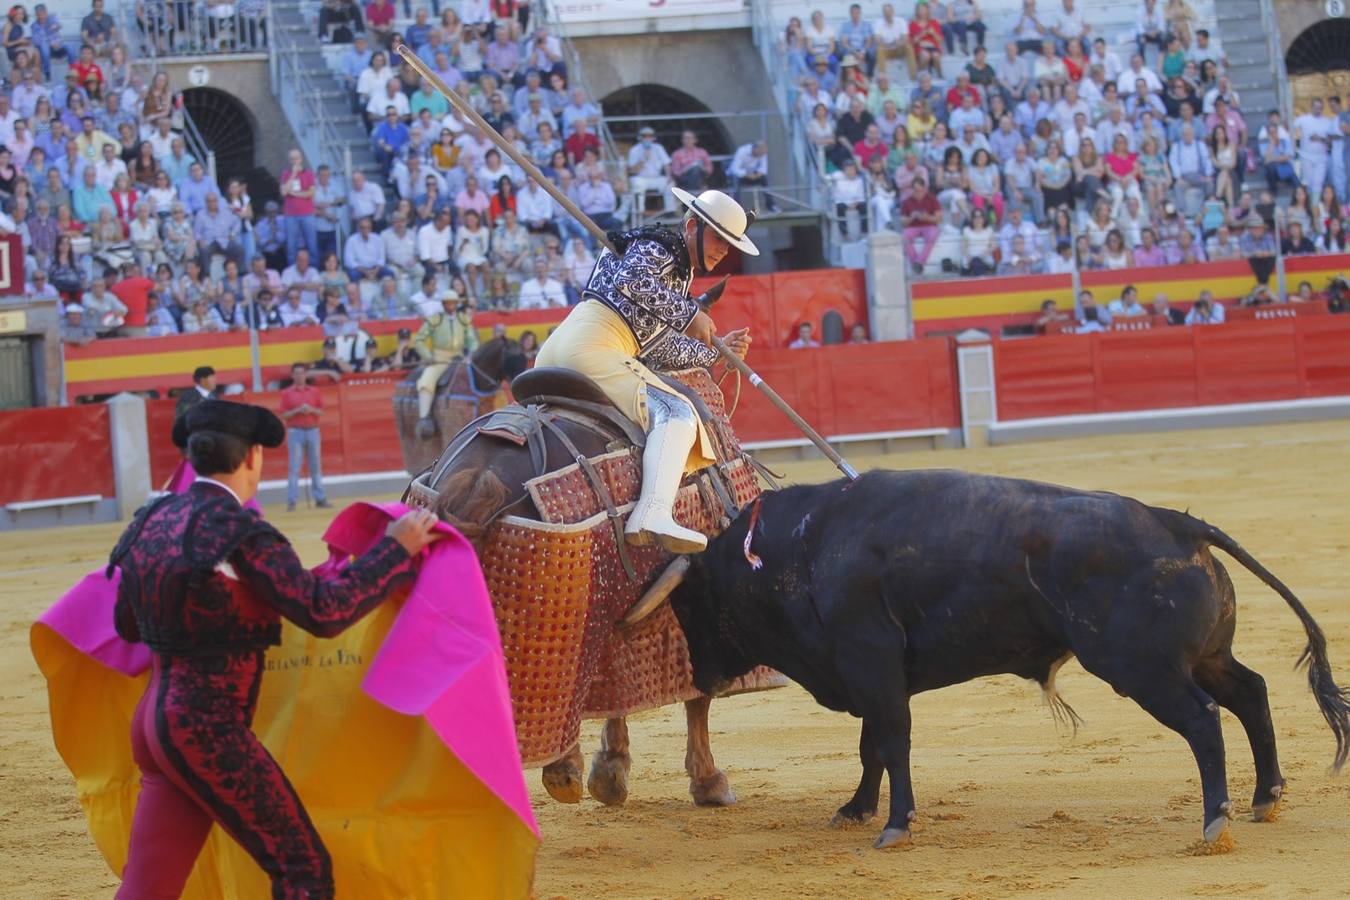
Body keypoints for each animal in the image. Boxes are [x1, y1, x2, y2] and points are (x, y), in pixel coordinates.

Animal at [656, 472, 1350, 852]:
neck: (802, 548)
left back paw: (1215, 821)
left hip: (1142, 670)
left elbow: (892, 741)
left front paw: (896, 825)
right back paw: (1265, 797)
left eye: (690, 605)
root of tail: (1176, 524)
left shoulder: (869, 660)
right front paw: (855, 810)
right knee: (1251, 692)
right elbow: (872, 745)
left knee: (1205, 721)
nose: (701, 677)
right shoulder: (869, 671)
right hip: (1203, 656)